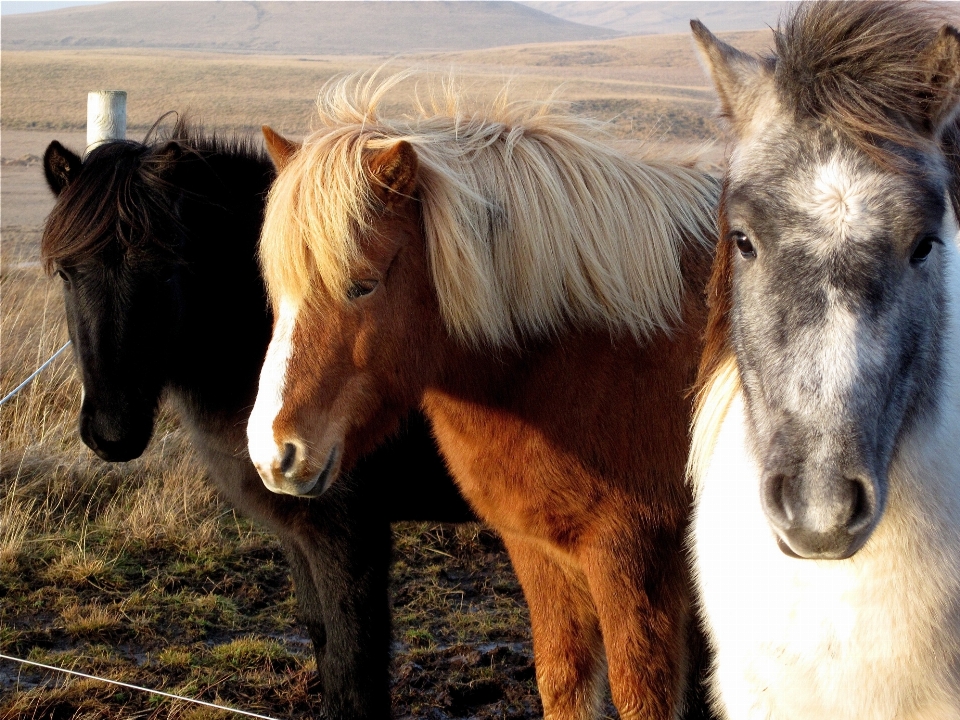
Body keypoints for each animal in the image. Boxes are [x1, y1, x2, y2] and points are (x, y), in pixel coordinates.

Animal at [39, 119, 474, 720]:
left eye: (166, 271)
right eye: (65, 272)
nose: (112, 433)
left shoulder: (348, 534)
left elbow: (354, 673)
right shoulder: (299, 533)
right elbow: (324, 645)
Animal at [248, 76, 720, 716]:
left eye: (363, 284)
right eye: (278, 287)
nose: (273, 454)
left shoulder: (634, 558)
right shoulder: (540, 553)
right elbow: (564, 685)